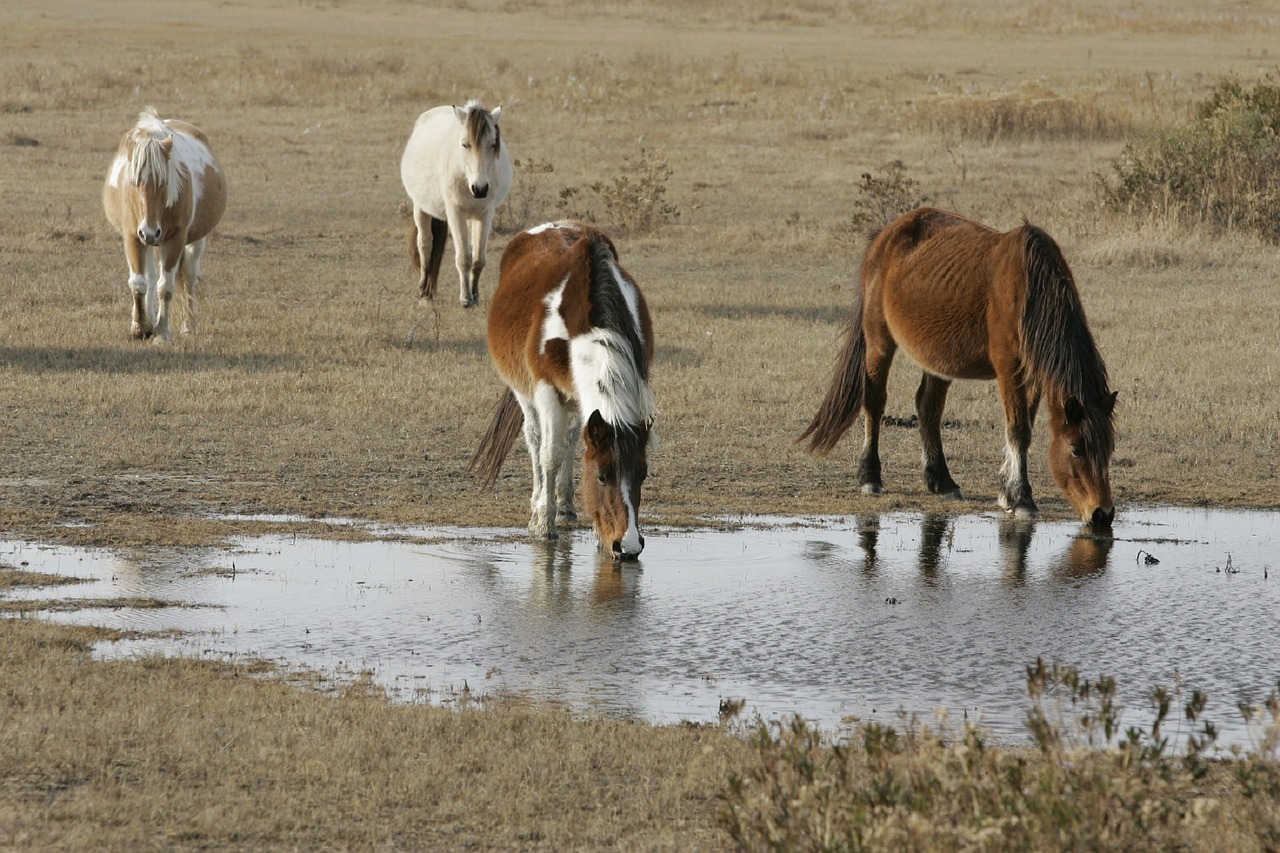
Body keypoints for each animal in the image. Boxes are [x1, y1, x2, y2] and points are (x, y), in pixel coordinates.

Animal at [104, 108, 227, 340]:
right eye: (134, 183)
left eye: (163, 182)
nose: (150, 232)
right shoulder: (133, 236)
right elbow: (139, 283)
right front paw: (141, 326)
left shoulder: (175, 239)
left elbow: (165, 287)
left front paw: (161, 332)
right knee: (151, 278)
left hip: (193, 241)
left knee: (188, 276)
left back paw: (188, 326)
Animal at [404, 99, 514, 306]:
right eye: (465, 144)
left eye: (493, 144)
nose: (480, 189)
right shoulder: (455, 213)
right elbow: (463, 258)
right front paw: (465, 298)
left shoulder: (484, 214)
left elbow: (478, 259)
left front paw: (475, 295)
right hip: (420, 208)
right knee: (425, 243)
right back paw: (424, 291)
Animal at [468, 219, 655, 558]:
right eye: (602, 476)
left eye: (643, 474)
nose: (629, 545)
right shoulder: (546, 390)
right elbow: (549, 454)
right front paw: (543, 523)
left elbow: (570, 445)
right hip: (525, 392)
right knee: (536, 439)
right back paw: (539, 501)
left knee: (569, 438)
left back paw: (565, 505)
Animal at [803, 206, 1116, 525]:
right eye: (1076, 449)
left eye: (1110, 449)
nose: (1102, 514)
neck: (1028, 290)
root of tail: (883, 236)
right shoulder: (1009, 368)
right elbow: (1018, 429)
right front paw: (1022, 499)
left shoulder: (1032, 374)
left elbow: (1023, 426)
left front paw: (1006, 492)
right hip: (879, 340)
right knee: (875, 401)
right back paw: (870, 477)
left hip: (936, 357)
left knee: (928, 408)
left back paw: (942, 481)